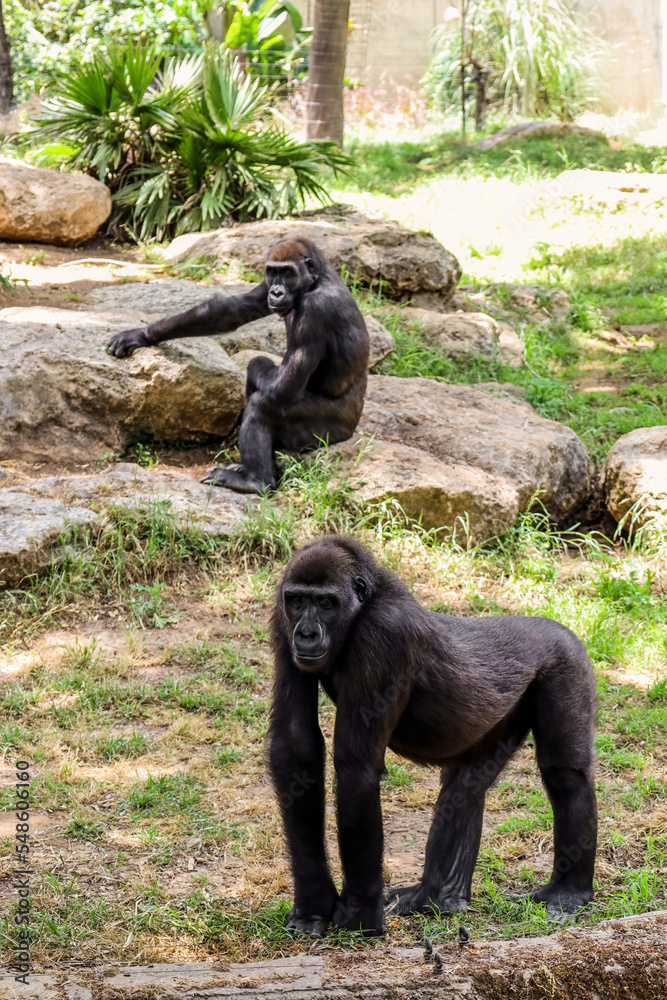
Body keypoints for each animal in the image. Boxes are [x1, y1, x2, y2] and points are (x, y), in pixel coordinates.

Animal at [108, 239, 370, 496]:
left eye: (288, 273)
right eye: (273, 273)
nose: (276, 292)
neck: (316, 280)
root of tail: (352, 429)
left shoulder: (314, 310)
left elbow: (280, 388)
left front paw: (258, 365)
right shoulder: (265, 287)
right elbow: (232, 310)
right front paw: (141, 335)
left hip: (328, 433)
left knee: (264, 403)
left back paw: (256, 481)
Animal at [268, 540, 596, 936]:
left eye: (326, 603)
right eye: (297, 600)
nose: (306, 634)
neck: (365, 603)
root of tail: (556, 625)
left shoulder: (384, 633)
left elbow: (355, 770)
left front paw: (359, 916)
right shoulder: (281, 618)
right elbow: (295, 745)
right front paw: (313, 905)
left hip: (567, 660)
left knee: (565, 776)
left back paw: (568, 891)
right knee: (466, 785)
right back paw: (437, 896)